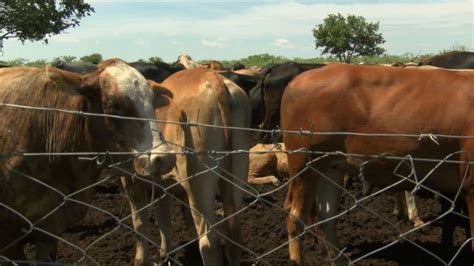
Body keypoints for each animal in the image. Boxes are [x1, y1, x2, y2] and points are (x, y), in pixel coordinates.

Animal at [280, 63, 474, 264]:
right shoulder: (471, 185)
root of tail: (298, 79)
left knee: (327, 216)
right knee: (296, 218)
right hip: (304, 164)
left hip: (330, 167)